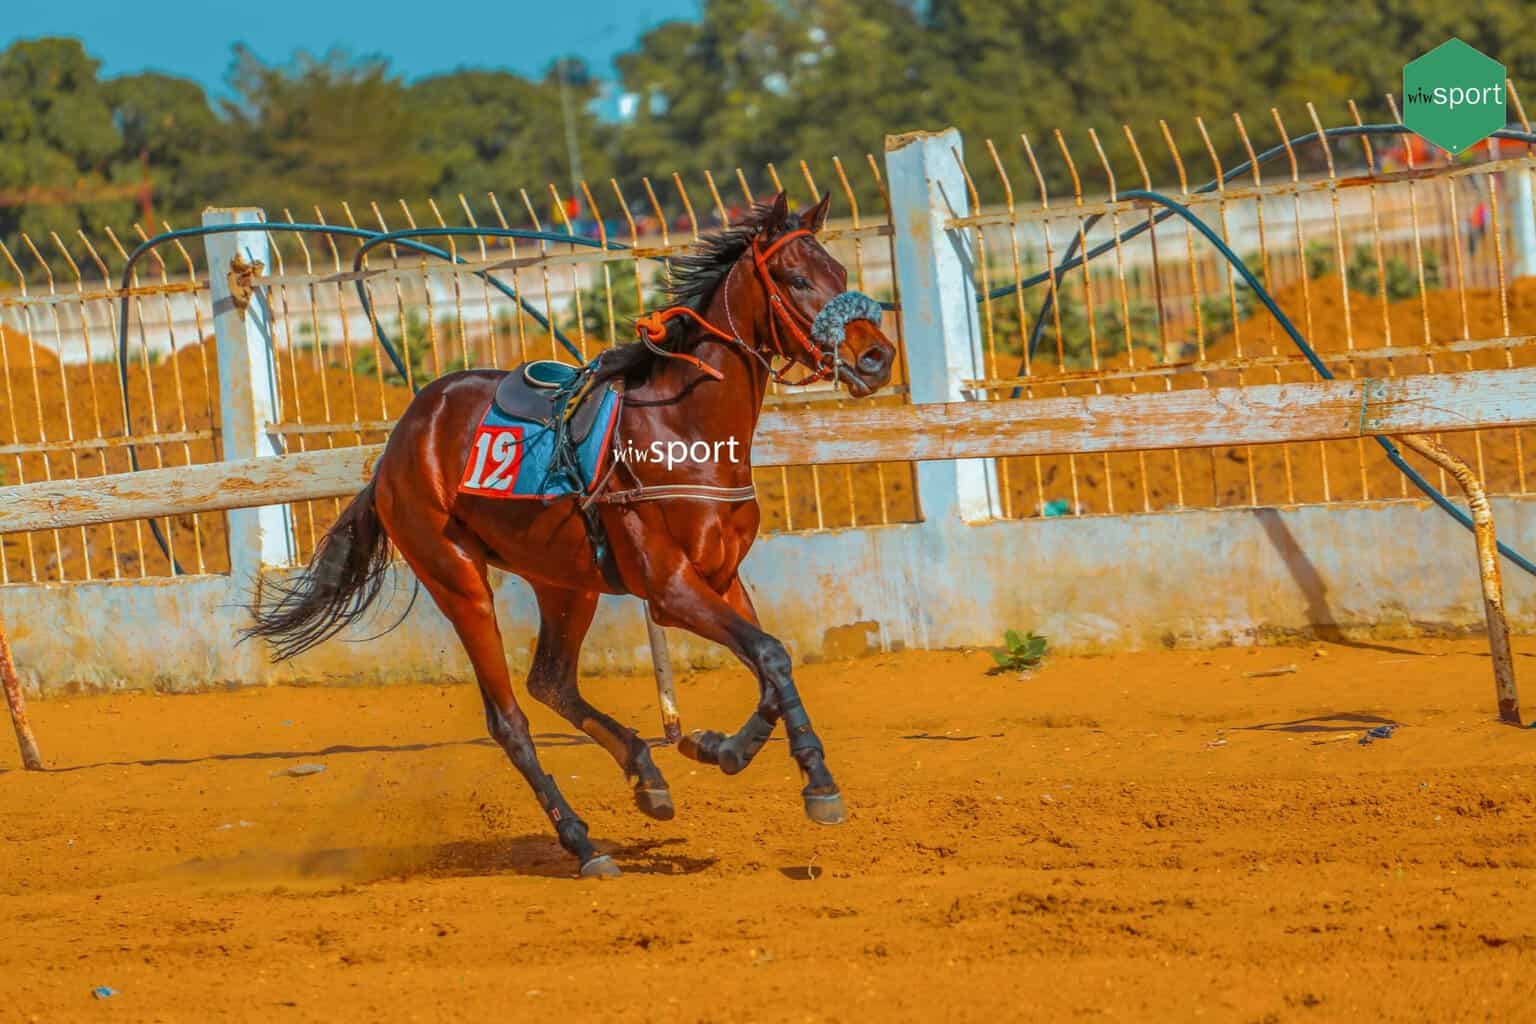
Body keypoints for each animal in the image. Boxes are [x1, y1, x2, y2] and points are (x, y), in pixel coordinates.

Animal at [244, 191, 898, 877]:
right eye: (796, 279)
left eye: (841, 274)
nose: (877, 358)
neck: (680, 425)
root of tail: (396, 448)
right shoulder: (670, 589)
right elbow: (770, 654)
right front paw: (816, 781)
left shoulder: (721, 578)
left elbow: (773, 663)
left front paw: (719, 747)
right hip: (458, 579)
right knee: (510, 718)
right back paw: (582, 843)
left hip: (565, 581)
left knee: (550, 681)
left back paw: (645, 775)